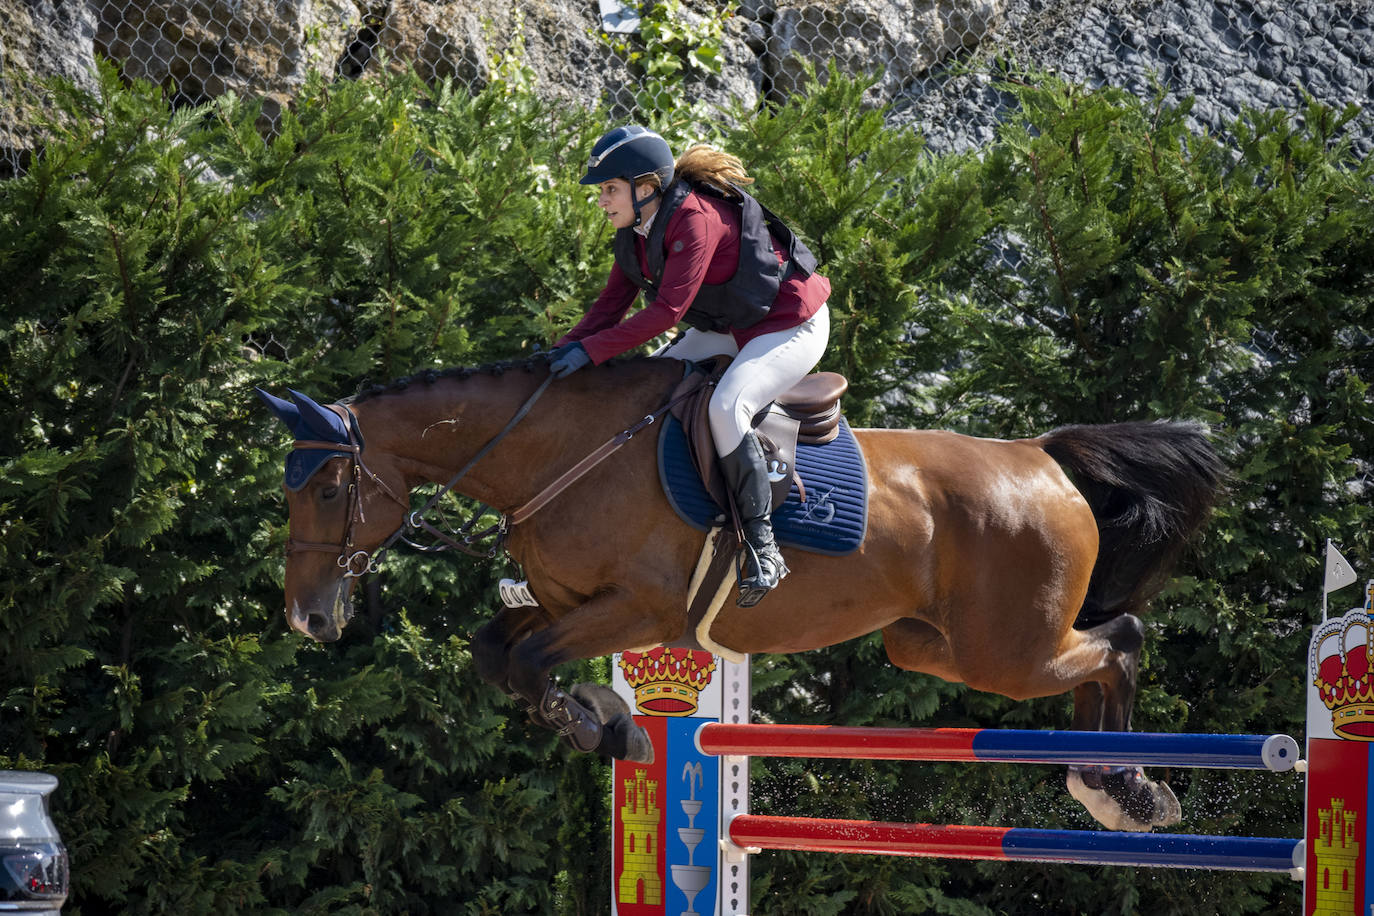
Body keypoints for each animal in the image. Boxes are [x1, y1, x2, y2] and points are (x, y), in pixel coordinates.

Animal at [258, 354, 1225, 834]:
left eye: (331, 489)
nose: (309, 618)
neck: (560, 453)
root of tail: (1042, 457)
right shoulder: (568, 600)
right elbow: (499, 652)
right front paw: (603, 716)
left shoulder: (639, 609)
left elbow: (527, 661)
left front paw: (601, 724)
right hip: (931, 644)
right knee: (1102, 651)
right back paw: (1108, 782)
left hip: (1007, 651)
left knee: (1121, 642)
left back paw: (1126, 787)